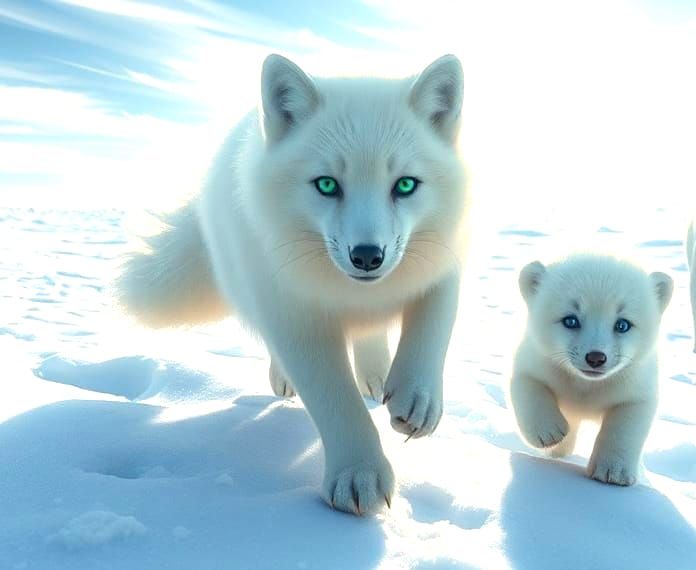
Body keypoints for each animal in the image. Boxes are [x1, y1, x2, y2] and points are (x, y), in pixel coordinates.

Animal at [116, 54, 468, 515]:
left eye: (406, 185)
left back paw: (376, 377)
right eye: (327, 185)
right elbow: (334, 399)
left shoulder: (446, 252)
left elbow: (433, 324)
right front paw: (359, 472)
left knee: (371, 336)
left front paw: (418, 397)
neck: (357, 294)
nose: (367, 256)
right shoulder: (295, 315)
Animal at [510, 254, 673, 486]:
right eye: (570, 320)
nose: (596, 358)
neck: (587, 386)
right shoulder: (536, 358)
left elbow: (627, 424)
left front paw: (614, 472)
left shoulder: (636, 384)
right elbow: (527, 384)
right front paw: (549, 433)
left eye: (622, 324)